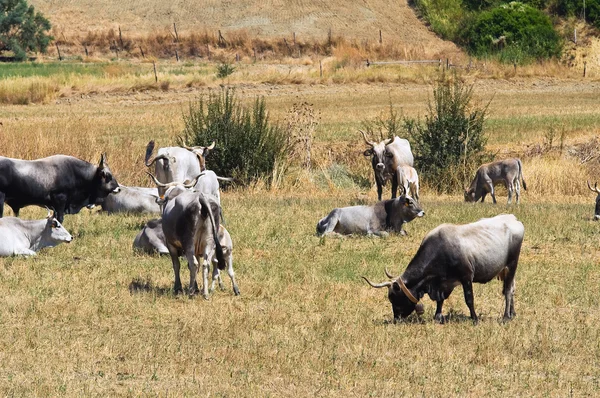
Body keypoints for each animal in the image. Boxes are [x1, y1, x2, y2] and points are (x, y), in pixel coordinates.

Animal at [360, 215, 524, 324]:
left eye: (395, 297)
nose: (396, 319)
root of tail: (514, 219)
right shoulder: (443, 283)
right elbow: (440, 300)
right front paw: (438, 316)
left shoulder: (466, 277)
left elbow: (469, 299)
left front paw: (475, 319)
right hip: (506, 271)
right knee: (511, 289)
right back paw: (513, 313)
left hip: (512, 265)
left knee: (508, 291)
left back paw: (506, 317)